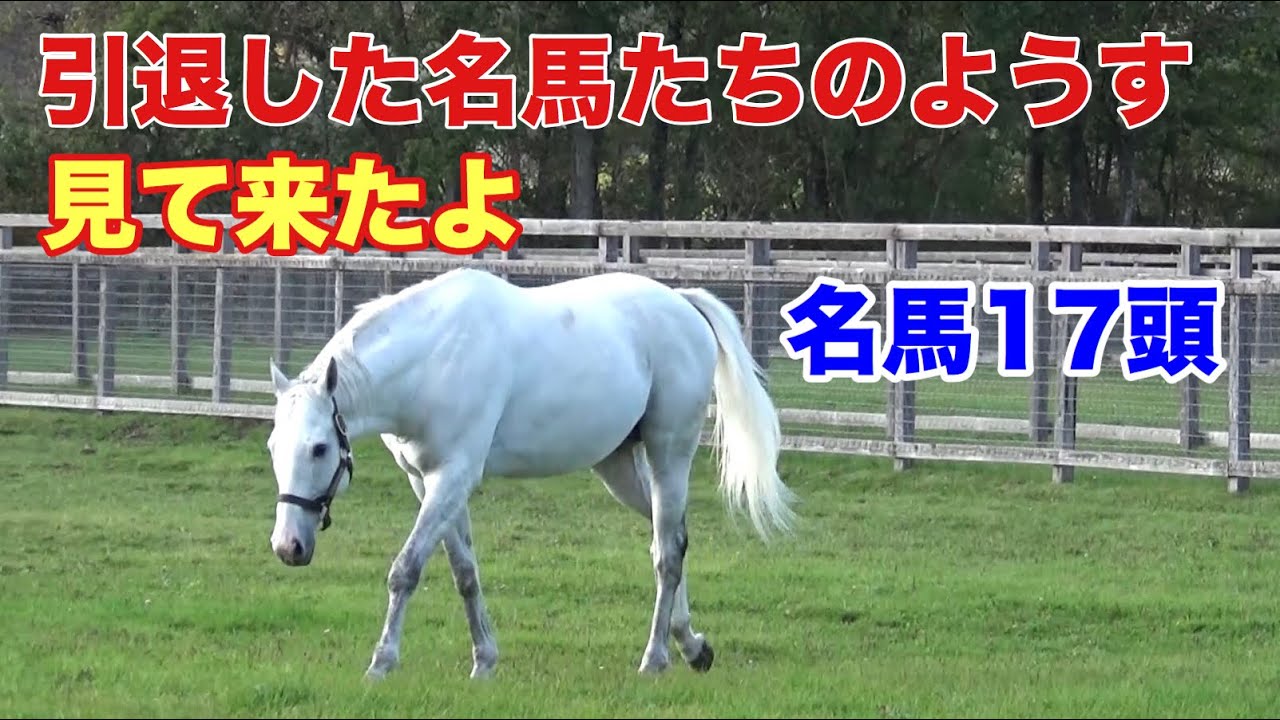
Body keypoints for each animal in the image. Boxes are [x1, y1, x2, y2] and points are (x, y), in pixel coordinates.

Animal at [264, 266, 797, 681]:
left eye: (318, 448)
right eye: (273, 447)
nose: (288, 547)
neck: (433, 358)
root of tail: (683, 305)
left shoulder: (453, 477)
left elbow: (406, 570)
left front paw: (382, 662)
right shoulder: (428, 482)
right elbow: (464, 573)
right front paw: (484, 660)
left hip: (670, 453)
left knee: (668, 552)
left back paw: (656, 658)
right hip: (618, 466)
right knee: (670, 541)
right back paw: (692, 645)